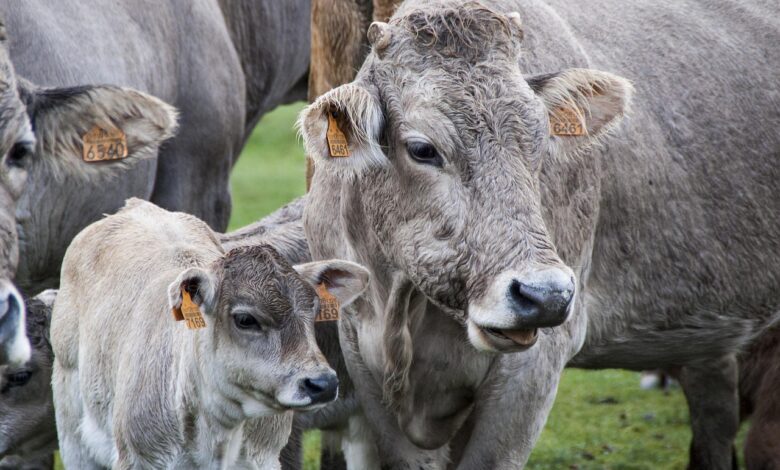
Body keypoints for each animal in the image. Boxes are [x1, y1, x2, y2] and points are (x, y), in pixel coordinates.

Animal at [299, 0, 780, 468]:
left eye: (539, 141)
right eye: (422, 149)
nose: (545, 295)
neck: (401, 307)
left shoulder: (533, 369)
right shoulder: (361, 358)